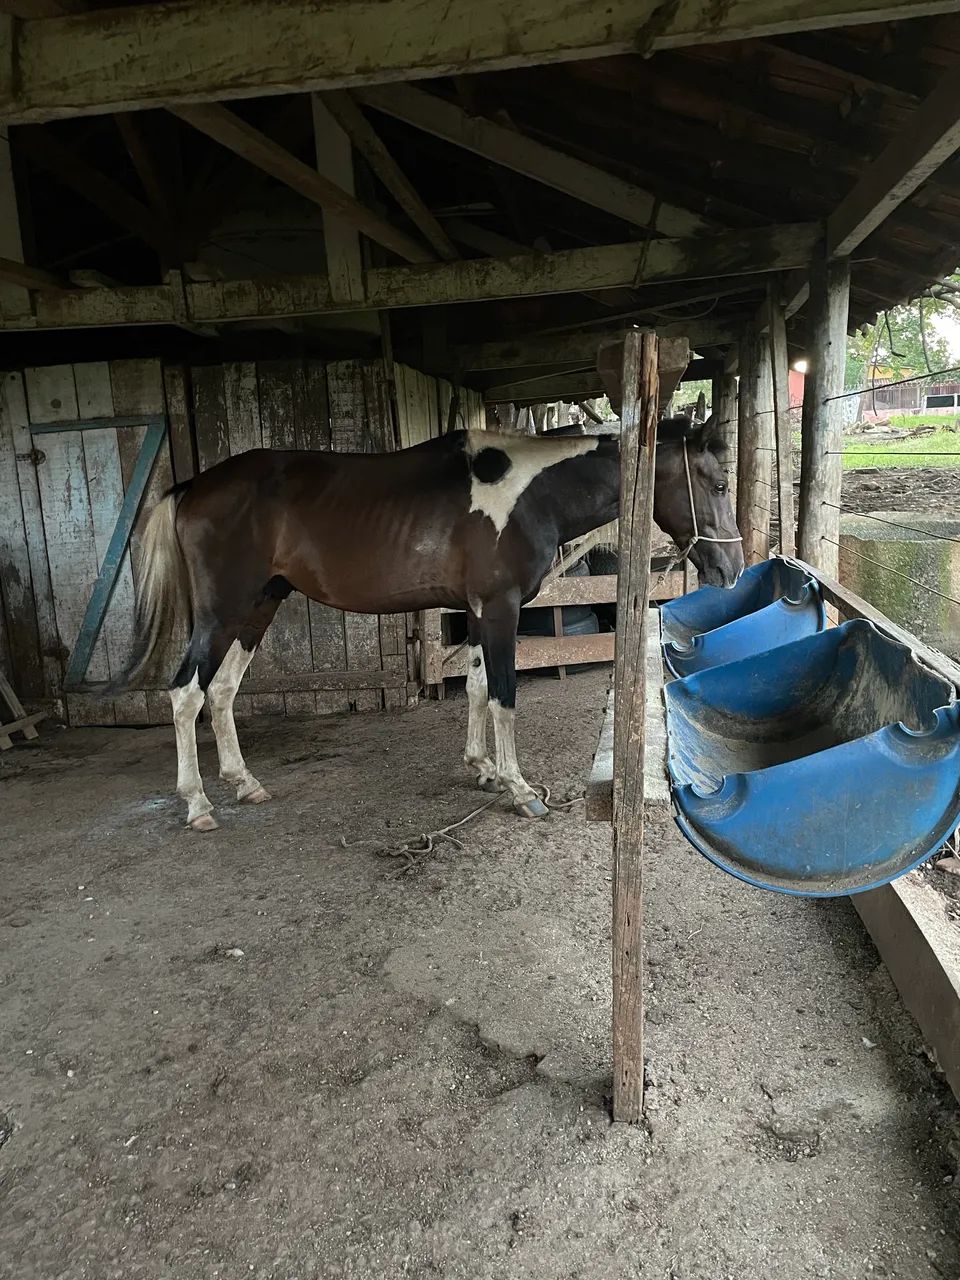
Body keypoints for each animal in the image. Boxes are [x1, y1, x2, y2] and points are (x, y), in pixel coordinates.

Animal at [104, 414, 742, 831]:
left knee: (223, 692)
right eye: (717, 483)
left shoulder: (481, 611)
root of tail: (195, 486)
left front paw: (482, 769)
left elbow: (479, 688)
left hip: (260, 605)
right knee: (187, 693)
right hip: (223, 612)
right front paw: (519, 789)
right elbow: (504, 695)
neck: (528, 493)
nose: (732, 569)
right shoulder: (501, 606)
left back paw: (244, 783)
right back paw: (197, 804)